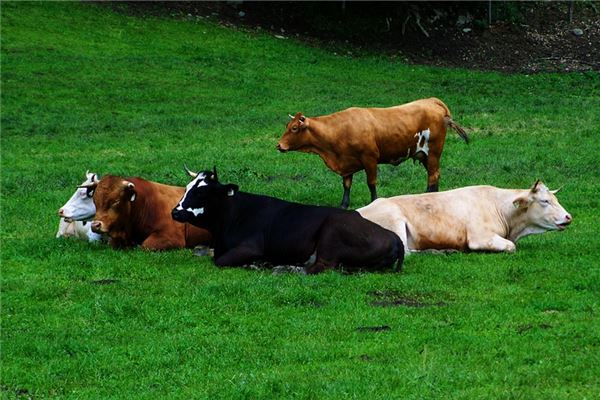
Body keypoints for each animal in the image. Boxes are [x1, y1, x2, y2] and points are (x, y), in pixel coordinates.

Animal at [170, 167, 404, 274]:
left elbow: (219, 261)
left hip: (331, 233)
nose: (175, 212)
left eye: (202, 193)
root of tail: (393, 237)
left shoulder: (250, 247)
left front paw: (256, 263)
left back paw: (285, 268)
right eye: (186, 188)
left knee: (320, 267)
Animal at [276, 98, 468, 208]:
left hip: (434, 152)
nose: (279, 145)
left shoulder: (370, 158)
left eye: (294, 128)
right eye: (286, 126)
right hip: (424, 155)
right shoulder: (347, 163)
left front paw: (374, 201)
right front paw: (344, 204)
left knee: (433, 176)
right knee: (435, 174)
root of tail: (432, 101)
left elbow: (371, 183)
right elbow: (346, 184)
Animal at [356, 180, 572, 253]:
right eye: (545, 201)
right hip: (395, 223)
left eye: (555, 198)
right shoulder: (480, 237)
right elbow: (511, 247)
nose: (568, 217)